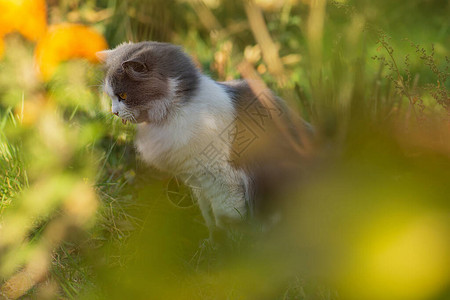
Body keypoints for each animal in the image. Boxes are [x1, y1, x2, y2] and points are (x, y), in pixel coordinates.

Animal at [97, 41, 310, 231]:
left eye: (123, 96)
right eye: (111, 97)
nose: (114, 112)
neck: (175, 113)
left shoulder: (223, 182)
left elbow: (227, 220)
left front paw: (228, 246)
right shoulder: (198, 183)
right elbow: (209, 217)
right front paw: (211, 241)